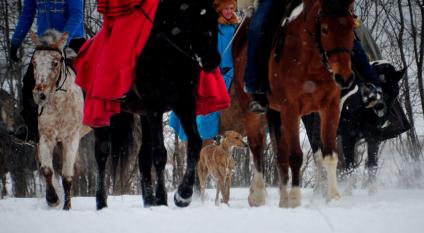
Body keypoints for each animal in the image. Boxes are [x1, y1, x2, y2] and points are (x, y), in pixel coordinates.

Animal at [30, 30, 90, 210]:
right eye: (34, 62)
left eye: (55, 63)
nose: (39, 95)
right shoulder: (46, 137)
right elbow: (47, 170)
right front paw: (52, 199)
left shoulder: (70, 139)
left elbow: (67, 176)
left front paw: (66, 207)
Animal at [94, 0, 220, 209]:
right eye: (194, 23)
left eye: (215, 20)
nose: (213, 60)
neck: (169, 56)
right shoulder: (155, 107)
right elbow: (160, 153)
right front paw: (162, 198)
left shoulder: (185, 104)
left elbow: (195, 143)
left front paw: (183, 195)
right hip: (101, 114)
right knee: (102, 153)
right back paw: (101, 201)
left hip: (143, 115)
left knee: (143, 156)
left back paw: (148, 200)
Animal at [224, 0, 356, 208]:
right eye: (325, 29)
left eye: (352, 27)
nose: (344, 78)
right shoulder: (291, 109)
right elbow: (295, 156)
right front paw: (295, 199)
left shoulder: (330, 107)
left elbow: (330, 155)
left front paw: (333, 197)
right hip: (252, 110)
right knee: (257, 147)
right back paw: (258, 195)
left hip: (276, 113)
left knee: (280, 155)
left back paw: (282, 199)